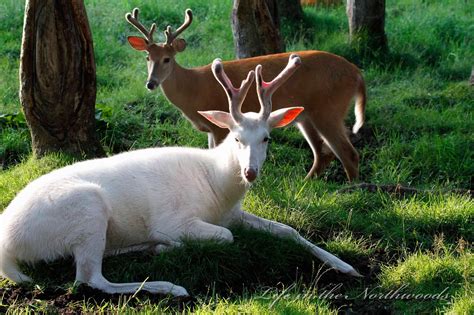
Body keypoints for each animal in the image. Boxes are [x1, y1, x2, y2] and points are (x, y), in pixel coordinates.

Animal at [0, 55, 360, 298]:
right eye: (236, 137)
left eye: (267, 138)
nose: (250, 172)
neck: (217, 190)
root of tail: (8, 246)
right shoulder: (174, 219)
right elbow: (226, 237)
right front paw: (173, 247)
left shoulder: (233, 213)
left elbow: (288, 230)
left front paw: (345, 265)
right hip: (87, 208)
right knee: (89, 278)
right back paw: (170, 284)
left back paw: (150, 249)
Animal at [126, 7, 366, 181]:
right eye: (147, 57)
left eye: (167, 59)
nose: (151, 83)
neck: (192, 89)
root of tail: (357, 74)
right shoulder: (211, 129)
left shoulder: (220, 127)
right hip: (306, 115)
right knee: (323, 153)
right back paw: (307, 183)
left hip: (329, 109)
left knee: (348, 153)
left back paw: (352, 189)